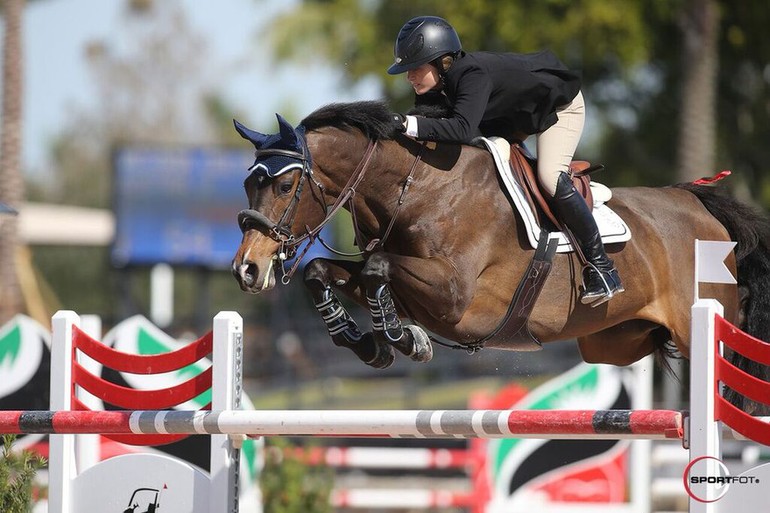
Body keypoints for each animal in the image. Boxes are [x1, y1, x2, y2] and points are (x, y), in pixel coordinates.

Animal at [228, 100, 768, 412]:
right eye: (248, 184)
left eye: (284, 185)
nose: (246, 269)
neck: (417, 188)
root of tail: (700, 205)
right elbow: (323, 271)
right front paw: (376, 343)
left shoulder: (455, 298)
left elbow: (378, 270)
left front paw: (404, 340)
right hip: (616, 341)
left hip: (698, 325)